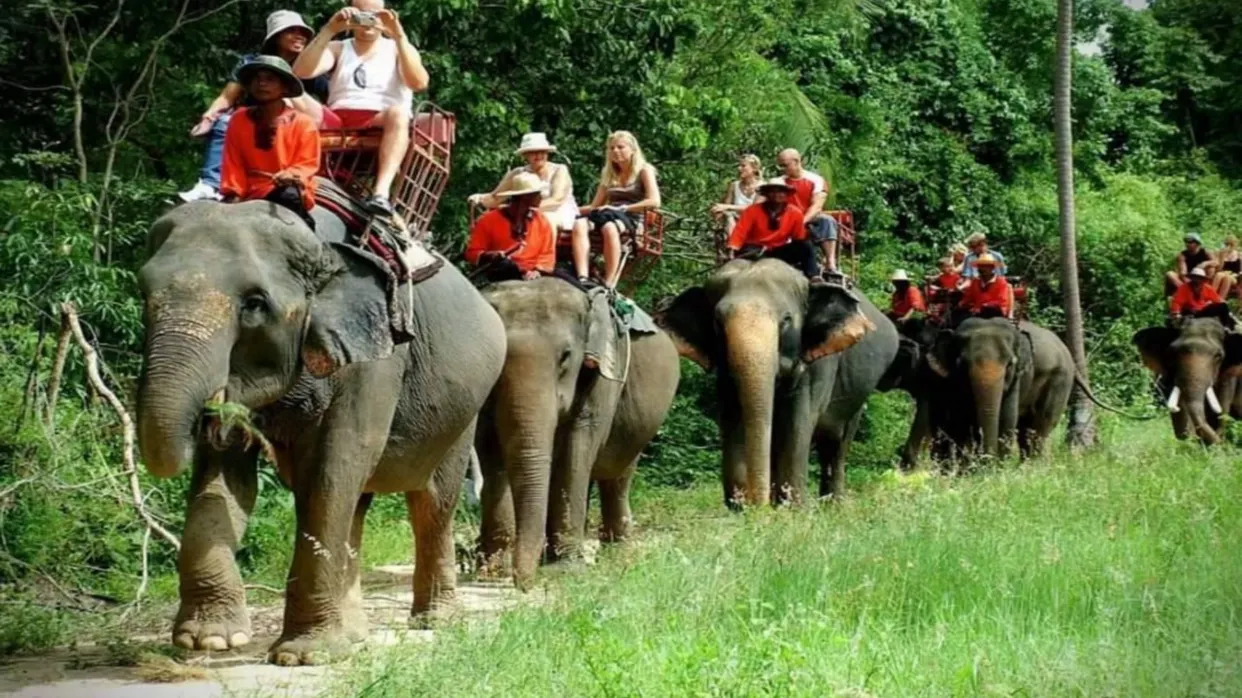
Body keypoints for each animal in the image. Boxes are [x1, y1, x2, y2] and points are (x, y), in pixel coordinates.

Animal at [136, 200, 506, 665]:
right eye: (143, 295)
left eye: (254, 304)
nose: (206, 419)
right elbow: (226, 478)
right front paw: (209, 640)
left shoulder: (377, 357)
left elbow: (335, 466)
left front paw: (302, 656)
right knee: (358, 505)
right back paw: (356, 635)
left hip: (465, 409)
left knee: (432, 503)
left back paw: (435, 621)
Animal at [475, 278, 680, 588]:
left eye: (566, 357)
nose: (523, 584)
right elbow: (488, 446)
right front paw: (491, 570)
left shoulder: (603, 375)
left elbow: (577, 444)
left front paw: (565, 569)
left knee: (617, 474)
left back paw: (616, 552)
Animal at [655, 259, 897, 506]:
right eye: (717, 322)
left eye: (786, 320)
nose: (758, 503)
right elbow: (733, 419)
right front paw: (742, 507)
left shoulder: (819, 365)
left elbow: (796, 423)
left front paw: (792, 508)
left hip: (859, 392)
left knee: (836, 444)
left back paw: (833, 505)